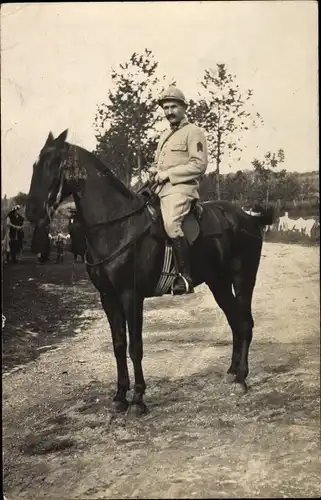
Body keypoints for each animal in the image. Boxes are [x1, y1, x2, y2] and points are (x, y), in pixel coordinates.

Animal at [26, 131, 274, 416]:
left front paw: (138, 399)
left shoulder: (131, 296)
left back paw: (242, 377)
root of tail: (249, 217)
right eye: (35, 164)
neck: (118, 226)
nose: (31, 211)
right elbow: (119, 345)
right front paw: (120, 396)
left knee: (244, 322)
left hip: (243, 279)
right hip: (218, 283)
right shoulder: (108, 298)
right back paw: (232, 372)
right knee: (234, 321)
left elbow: (135, 347)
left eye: (52, 163)